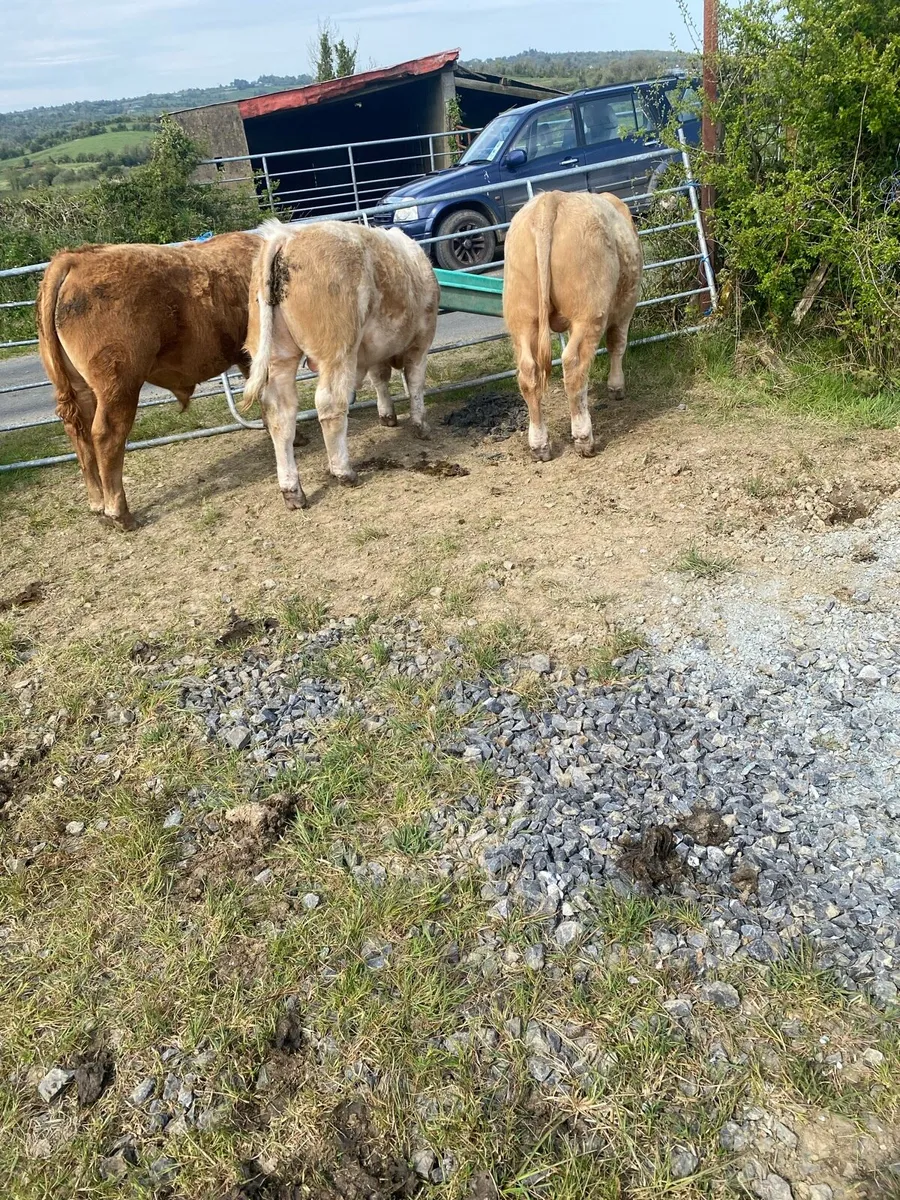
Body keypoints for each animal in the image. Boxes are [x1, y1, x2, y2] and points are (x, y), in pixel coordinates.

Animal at [37, 231, 261, 530]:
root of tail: (75, 257)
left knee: (79, 434)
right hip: (120, 384)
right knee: (106, 435)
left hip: (79, 387)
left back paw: (98, 504)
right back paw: (120, 514)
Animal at [240, 218, 439, 511]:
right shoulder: (420, 342)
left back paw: (293, 491)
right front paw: (421, 425)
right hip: (337, 350)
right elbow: (414, 383)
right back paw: (344, 471)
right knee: (330, 405)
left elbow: (380, 379)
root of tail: (286, 235)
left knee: (280, 414)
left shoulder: (375, 351)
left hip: (279, 355)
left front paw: (387, 416)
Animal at [502, 190, 643, 462]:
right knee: (574, 364)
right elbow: (617, 344)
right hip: (589, 313)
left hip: (521, 316)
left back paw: (539, 444)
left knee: (528, 371)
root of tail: (550, 200)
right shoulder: (626, 306)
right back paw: (583, 438)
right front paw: (616, 386)